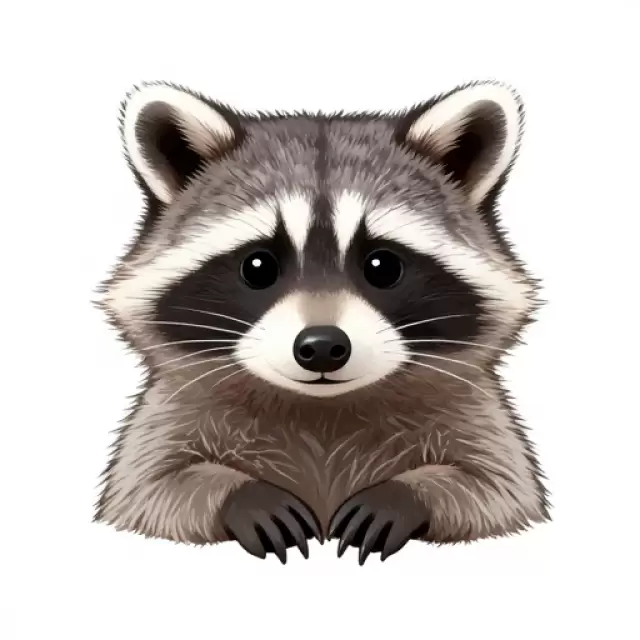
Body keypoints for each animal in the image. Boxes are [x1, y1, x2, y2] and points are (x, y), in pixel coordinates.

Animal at [95, 79, 550, 565]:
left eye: (382, 266)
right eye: (258, 266)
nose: (322, 346)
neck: (322, 409)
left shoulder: (478, 413)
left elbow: (497, 489)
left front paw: (406, 494)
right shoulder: (166, 414)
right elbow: (150, 490)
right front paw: (242, 495)